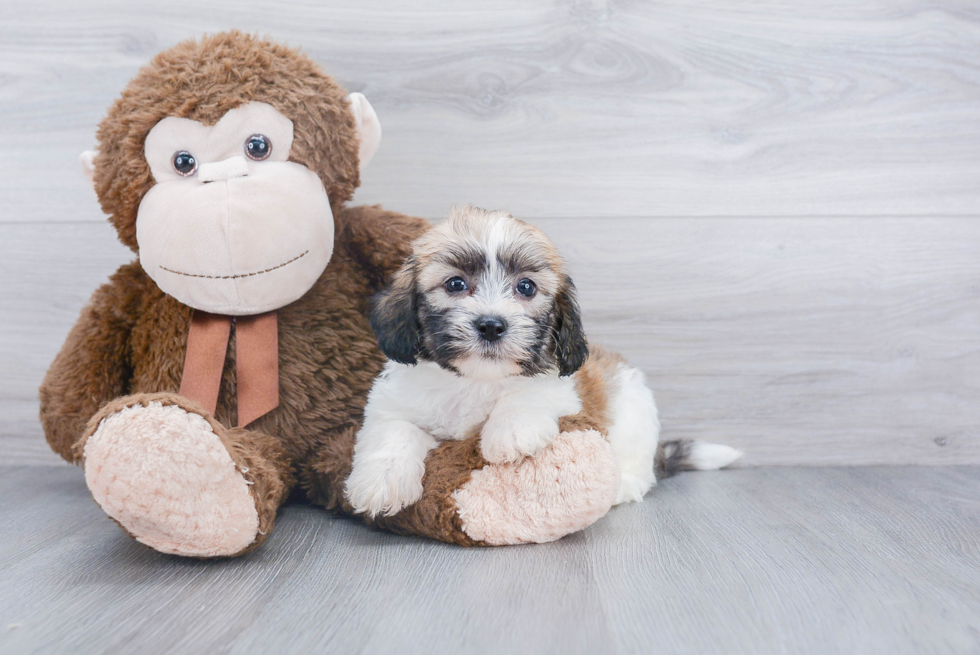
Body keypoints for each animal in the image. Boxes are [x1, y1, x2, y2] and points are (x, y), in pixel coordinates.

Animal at [344, 205, 744, 516]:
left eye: (526, 287)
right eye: (455, 284)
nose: (491, 325)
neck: (477, 379)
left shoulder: (561, 387)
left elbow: (529, 392)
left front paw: (510, 430)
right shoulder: (392, 401)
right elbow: (394, 430)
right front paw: (381, 482)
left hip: (633, 409)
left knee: (638, 467)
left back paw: (623, 486)